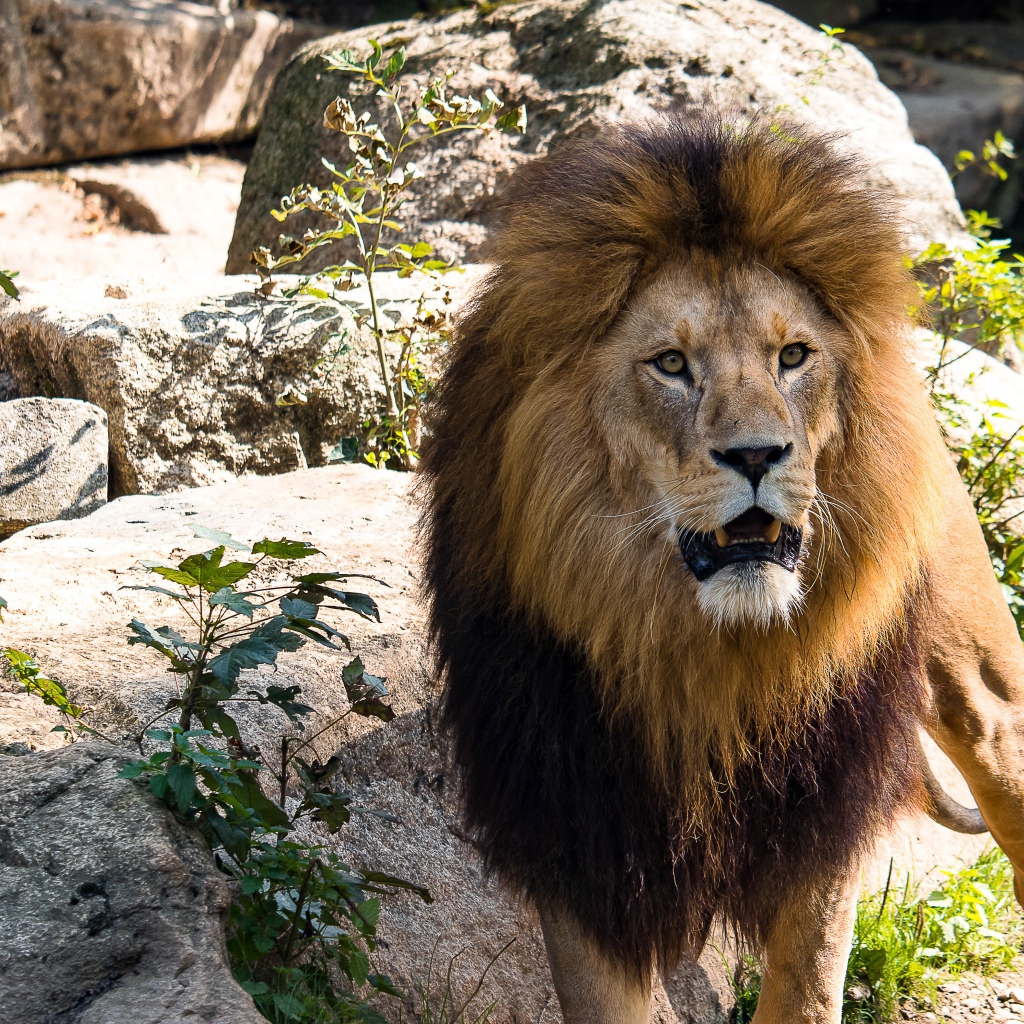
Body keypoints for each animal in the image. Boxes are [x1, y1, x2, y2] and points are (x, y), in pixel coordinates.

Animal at [415, 108, 1024, 1019]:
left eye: (793, 357)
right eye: (672, 364)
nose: (757, 455)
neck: (706, 653)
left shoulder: (822, 808)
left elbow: (805, 987)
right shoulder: (575, 823)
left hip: (983, 690)